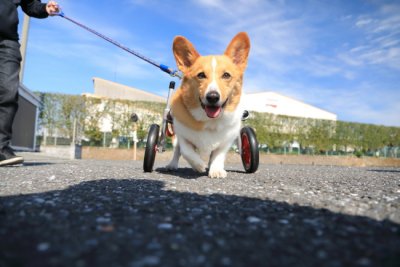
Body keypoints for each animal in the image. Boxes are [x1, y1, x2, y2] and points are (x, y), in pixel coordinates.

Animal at [166, 32, 250, 179]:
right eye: (201, 75)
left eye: (226, 75)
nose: (212, 97)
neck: (210, 121)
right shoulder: (182, 136)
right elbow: (187, 151)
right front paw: (199, 165)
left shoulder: (226, 141)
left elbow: (218, 155)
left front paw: (216, 170)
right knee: (177, 151)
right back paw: (172, 165)